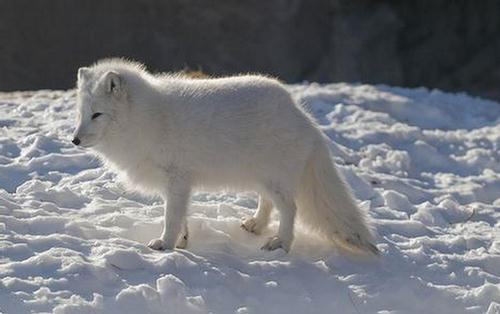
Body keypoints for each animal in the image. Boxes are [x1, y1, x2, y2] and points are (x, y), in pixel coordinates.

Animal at [72, 59, 378, 255]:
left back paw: (281, 243)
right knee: (268, 203)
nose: (74, 140)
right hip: (262, 177)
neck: (148, 120)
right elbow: (180, 217)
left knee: (290, 209)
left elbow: (171, 217)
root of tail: (302, 115)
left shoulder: (178, 179)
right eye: (81, 114)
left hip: (275, 179)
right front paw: (182, 242)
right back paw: (256, 225)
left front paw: (165, 245)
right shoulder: (176, 185)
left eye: (97, 115)